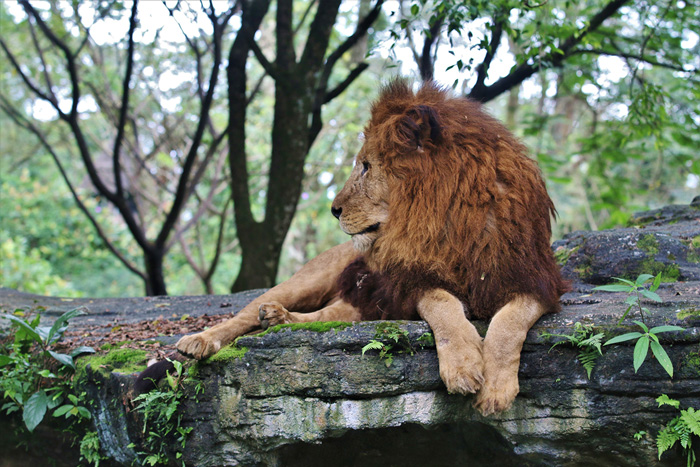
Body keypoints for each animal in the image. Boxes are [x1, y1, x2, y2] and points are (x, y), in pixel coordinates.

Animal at [175, 81, 568, 416]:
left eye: (366, 166)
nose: (333, 209)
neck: (455, 221)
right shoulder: (410, 282)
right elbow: (443, 306)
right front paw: (463, 366)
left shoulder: (535, 282)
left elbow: (507, 326)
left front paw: (496, 391)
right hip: (308, 280)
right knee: (244, 315)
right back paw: (200, 340)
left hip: (358, 306)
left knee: (325, 317)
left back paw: (278, 319)